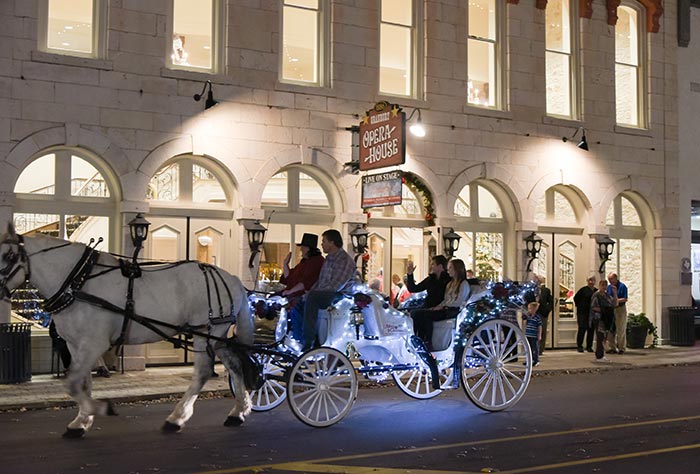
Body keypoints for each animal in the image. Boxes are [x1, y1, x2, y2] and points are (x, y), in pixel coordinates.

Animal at [0, 224, 256, 438]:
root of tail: (232, 278)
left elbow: (72, 383)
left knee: (202, 372)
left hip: (206, 333)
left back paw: (176, 418)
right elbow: (82, 382)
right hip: (216, 337)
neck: (78, 282)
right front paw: (81, 422)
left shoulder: (94, 343)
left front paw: (100, 408)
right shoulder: (75, 345)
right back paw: (238, 412)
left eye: (9, 256)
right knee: (235, 365)